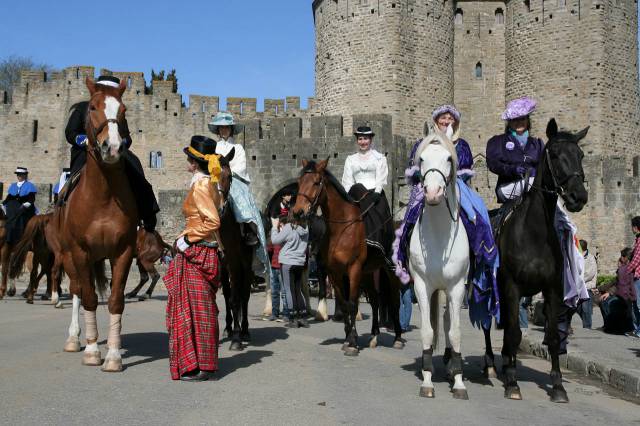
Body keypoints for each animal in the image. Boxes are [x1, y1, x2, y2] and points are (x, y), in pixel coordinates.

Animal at [52, 78, 138, 372]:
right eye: (91, 107)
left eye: (123, 110)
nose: (112, 147)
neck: (102, 196)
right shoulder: (79, 252)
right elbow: (88, 297)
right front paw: (91, 350)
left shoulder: (123, 252)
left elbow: (115, 300)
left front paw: (112, 355)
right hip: (68, 256)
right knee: (78, 291)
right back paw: (74, 338)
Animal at [290, 158, 400, 354]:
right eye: (300, 181)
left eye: (316, 182)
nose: (298, 212)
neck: (342, 229)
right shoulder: (335, 273)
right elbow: (344, 303)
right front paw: (349, 337)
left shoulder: (353, 269)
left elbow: (352, 304)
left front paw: (353, 343)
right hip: (369, 273)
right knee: (375, 300)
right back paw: (374, 336)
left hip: (390, 269)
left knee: (394, 299)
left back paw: (398, 338)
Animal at [484, 119, 592, 402]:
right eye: (554, 154)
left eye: (580, 155)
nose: (578, 197)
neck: (534, 233)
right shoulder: (512, 287)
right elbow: (514, 332)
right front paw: (512, 383)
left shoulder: (552, 289)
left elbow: (553, 337)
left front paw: (558, 386)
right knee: (489, 324)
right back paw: (490, 364)